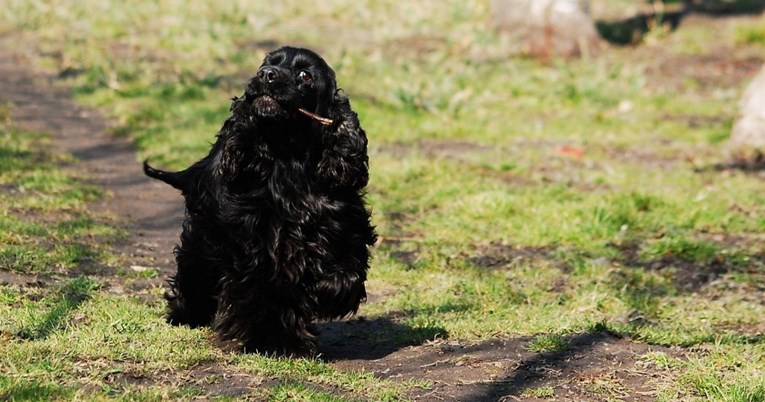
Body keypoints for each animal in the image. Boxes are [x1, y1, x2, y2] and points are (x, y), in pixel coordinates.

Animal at [143, 45, 376, 356]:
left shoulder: (341, 224)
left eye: (305, 75)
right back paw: (184, 316)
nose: (267, 75)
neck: (288, 159)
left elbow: (345, 272)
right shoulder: (254, 244)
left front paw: (328, 294)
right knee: (194, 274)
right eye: (266, 64)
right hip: (202, 239)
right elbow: (262, 292)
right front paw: (270, 340)